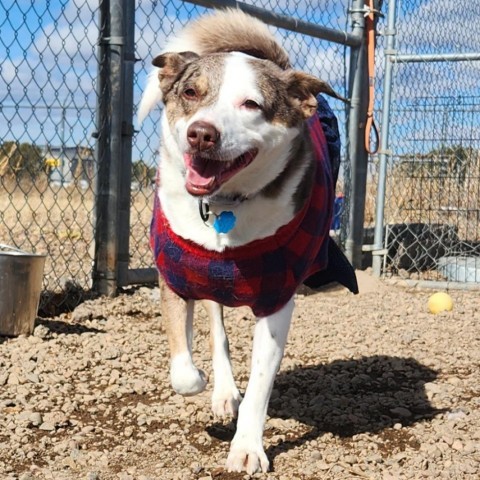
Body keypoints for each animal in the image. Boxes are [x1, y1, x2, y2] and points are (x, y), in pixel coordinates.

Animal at [139, 7, 356, 472]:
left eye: (251, 104)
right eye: (190, 92)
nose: (202, 133)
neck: (224, 205)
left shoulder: (277, 298)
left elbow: (260, 383)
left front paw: (247, 448)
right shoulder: (176, 276)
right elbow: (183, 371)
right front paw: (203, 381)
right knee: (218, 332)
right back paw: (222, 390)